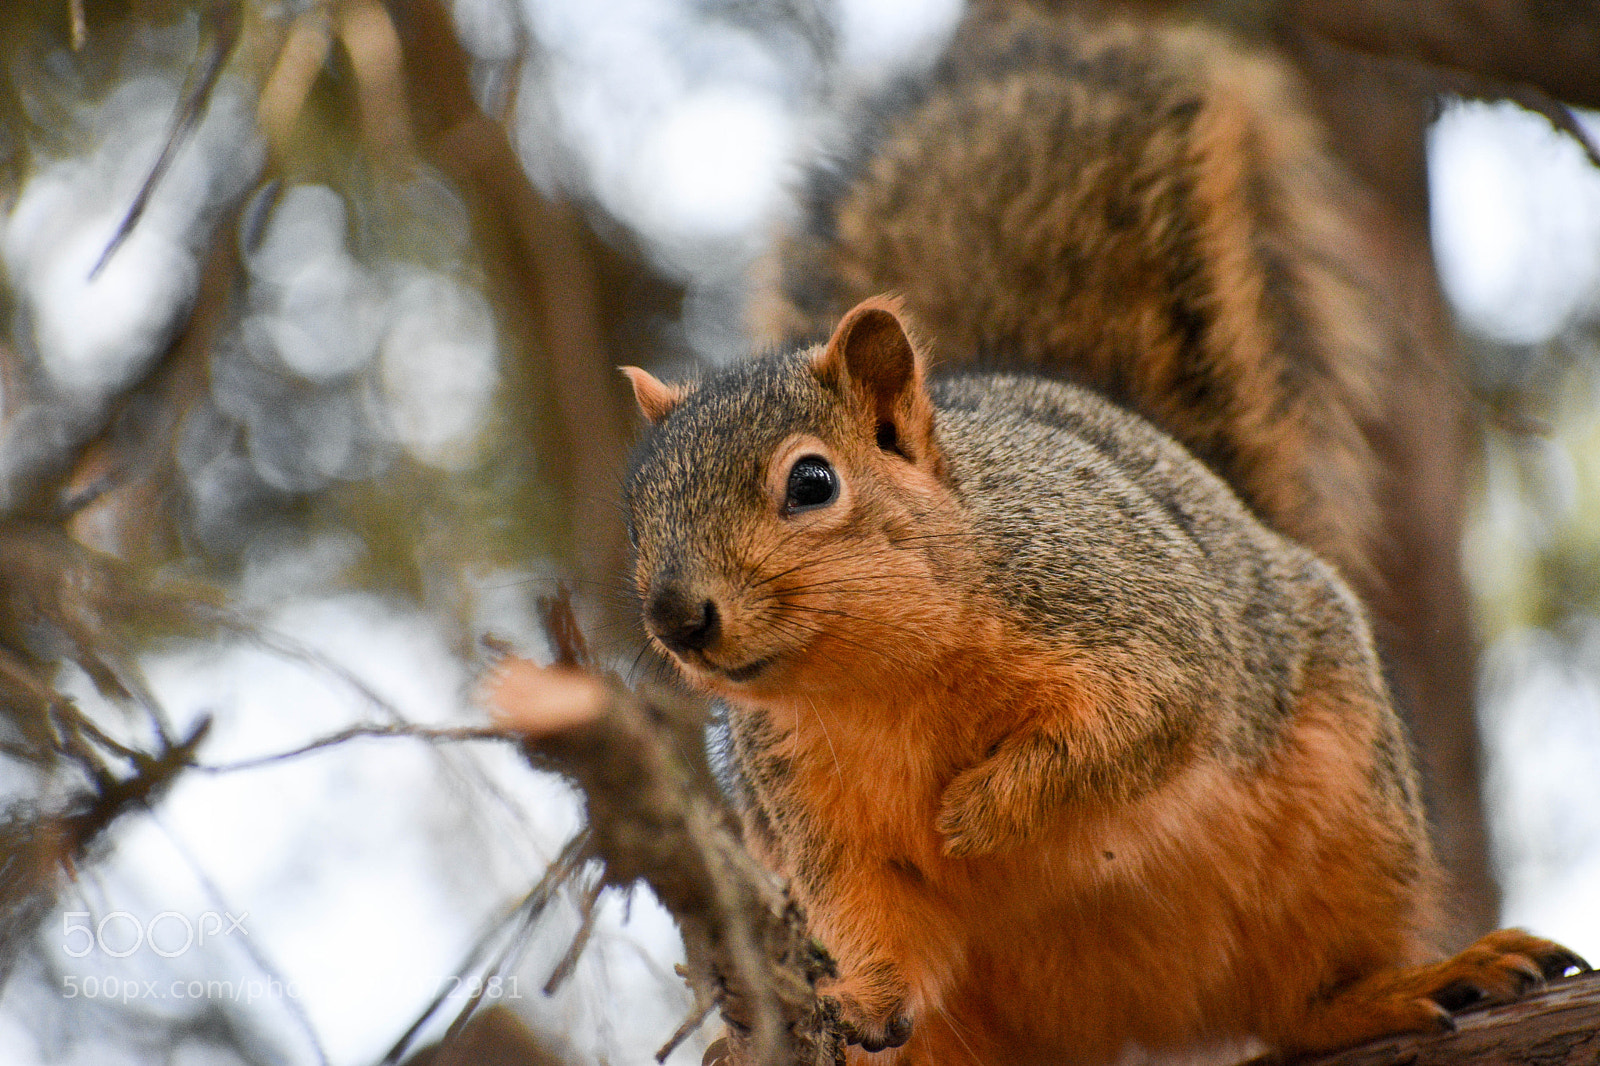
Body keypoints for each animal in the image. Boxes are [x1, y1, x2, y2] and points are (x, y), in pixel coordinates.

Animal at [618, 6, 1588, 1065]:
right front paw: (856, 1002)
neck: (883, 681)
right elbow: (869, 921)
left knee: (1302, 1002)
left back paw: (1407, 984)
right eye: (637, 515)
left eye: (812, 483)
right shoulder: (813, 821)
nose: (678, 618)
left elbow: (1128, 732)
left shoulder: (1133, 617)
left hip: (1351, 821)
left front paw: (977, 814)